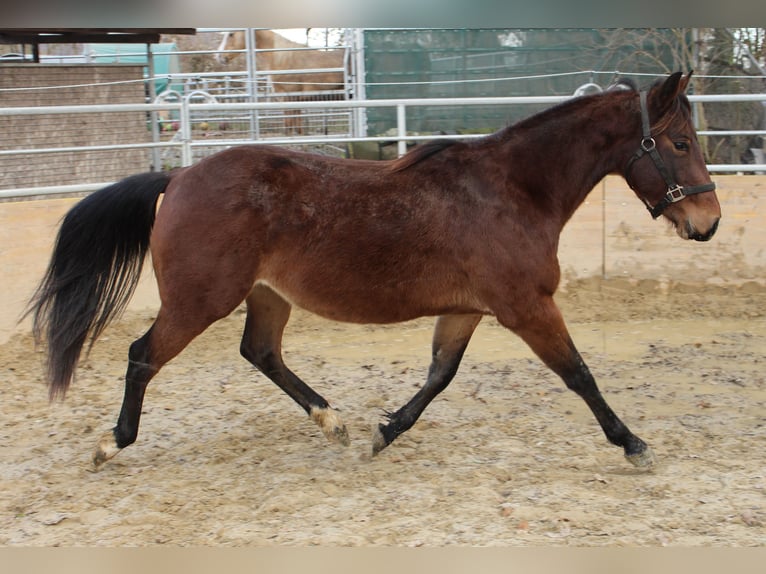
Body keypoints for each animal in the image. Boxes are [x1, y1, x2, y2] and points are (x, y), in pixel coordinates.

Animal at [28, 73, 720, 472]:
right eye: (679, 142)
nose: (708, 221)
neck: (511, 191)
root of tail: (177, 177)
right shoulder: (526, 306)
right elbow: (578, 373)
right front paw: (633, 444)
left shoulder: (467, 309)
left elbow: (439, 376)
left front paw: (383, 433)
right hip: (200, 300)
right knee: (143, 355)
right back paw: (111, 442)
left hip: (266, 295)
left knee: (261, 353)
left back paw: (332, 422)